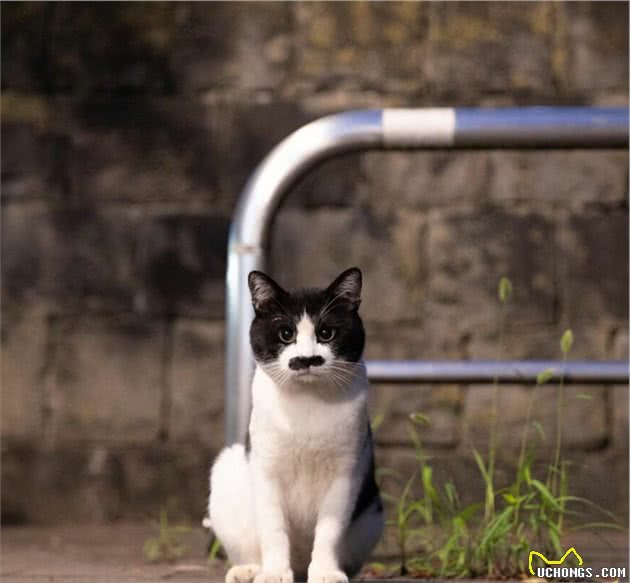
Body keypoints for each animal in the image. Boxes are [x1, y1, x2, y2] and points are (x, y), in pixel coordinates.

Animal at [210, 268, 382, 583]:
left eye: (326, 333)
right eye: (286, 334)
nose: (306, 359)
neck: (307, 402)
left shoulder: (345, 473)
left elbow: (329, 531)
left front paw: (326, 573)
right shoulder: (266, 470)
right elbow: (274, 530)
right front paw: (275, 573)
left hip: (373, 514)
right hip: (226, 472)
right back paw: (249, 570)